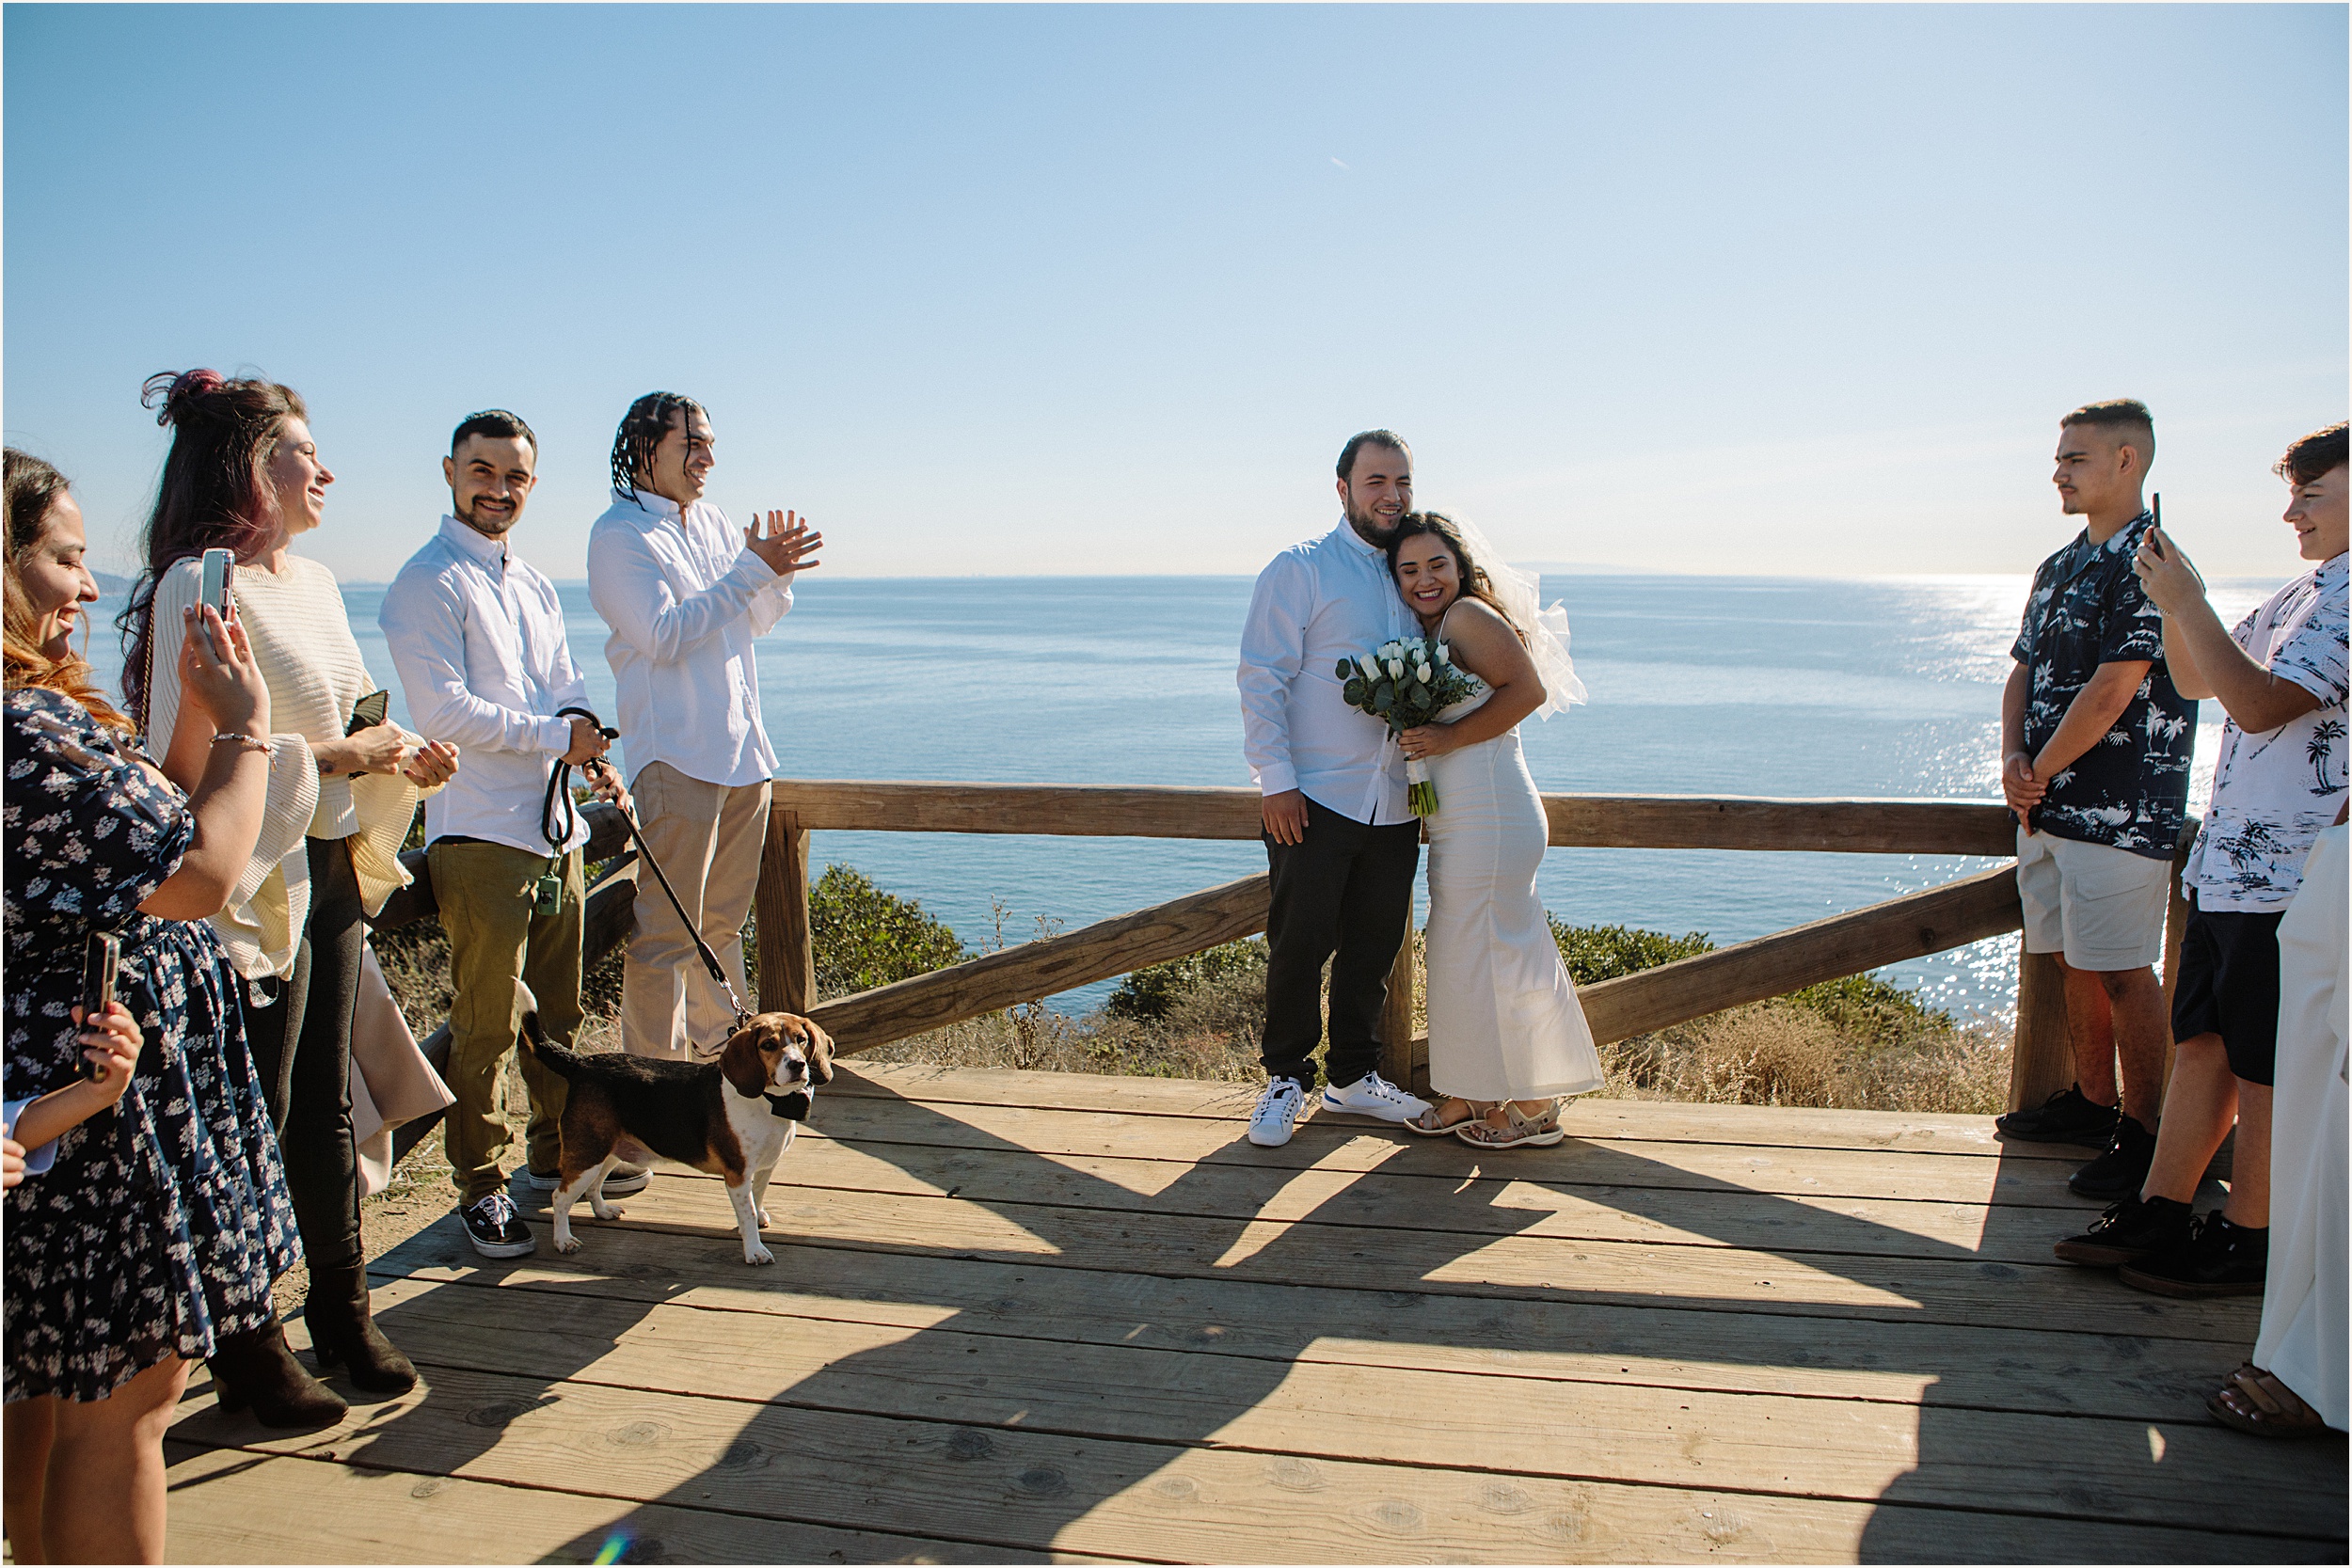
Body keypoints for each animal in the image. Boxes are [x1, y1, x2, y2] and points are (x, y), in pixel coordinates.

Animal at [517, 1010, 837, 1269]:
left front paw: (757, 1219)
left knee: (593, 1187)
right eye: (768, 1045)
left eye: (802, 1039)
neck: (768, 1101)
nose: (797, 1065)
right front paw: (754, 1249)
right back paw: (563, 1240)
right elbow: (746, 1214)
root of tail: (582, 1063)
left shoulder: (764, 1168)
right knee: (560, 1197)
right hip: (588, 1153)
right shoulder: (737, 1175)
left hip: (608, 1151)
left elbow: (756, 1199)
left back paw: (603, 1211)